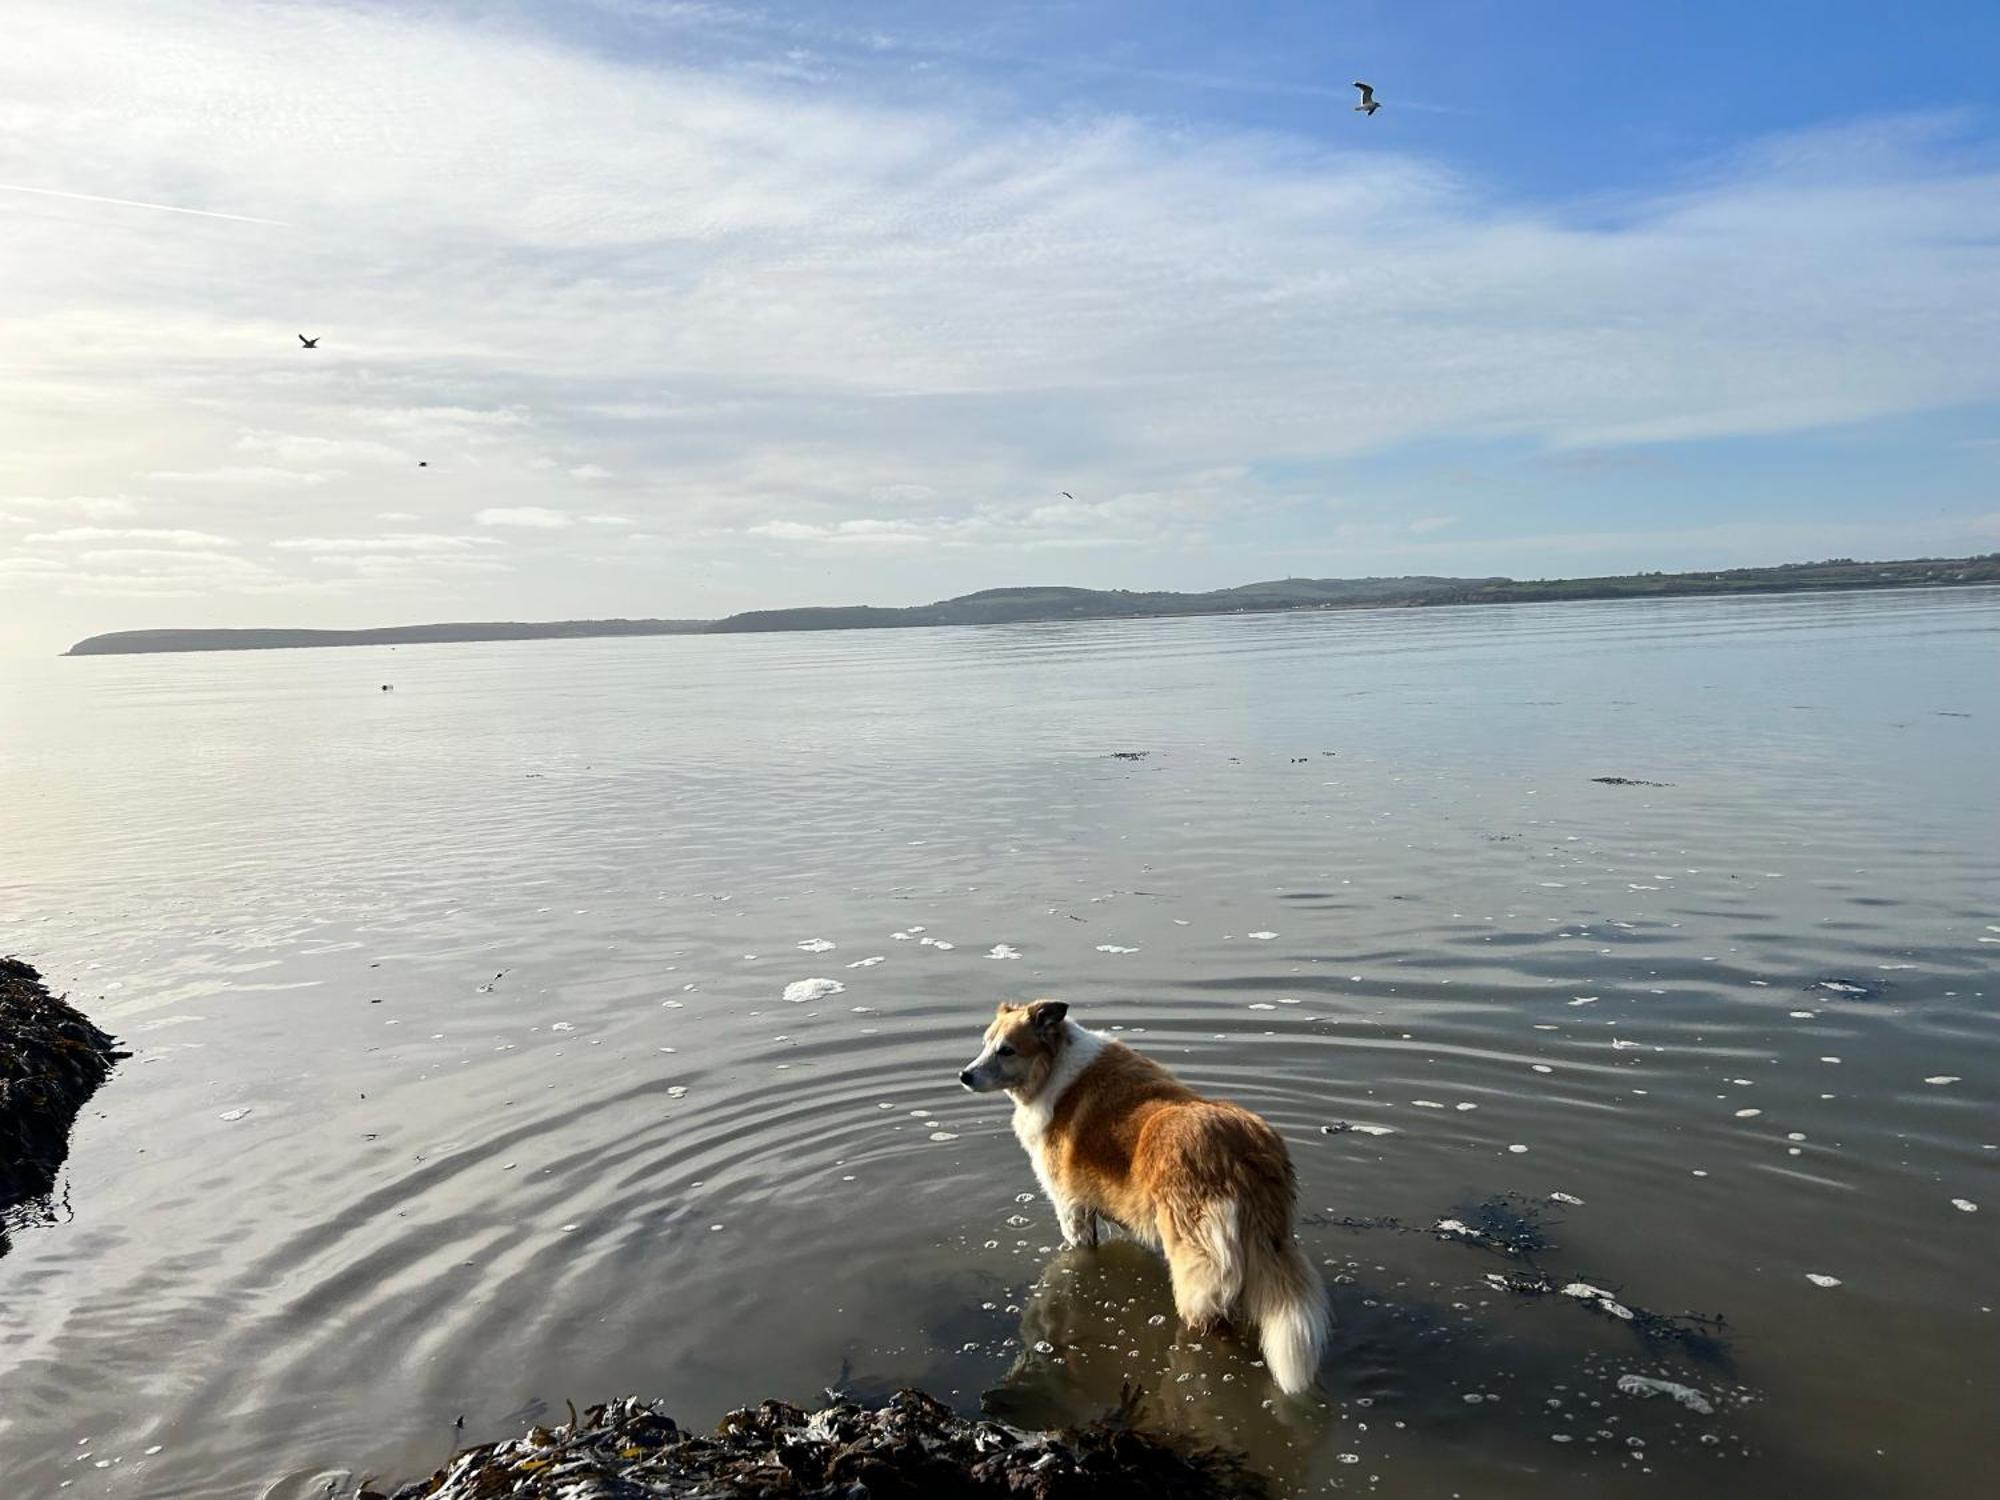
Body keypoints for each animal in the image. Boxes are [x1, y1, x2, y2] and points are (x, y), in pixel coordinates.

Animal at [956, 1000, 1328, 1400]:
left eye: (1007, 1050)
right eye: (985, 1044)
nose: (964, 1076)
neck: (1053, 1067)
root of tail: (1244, 1152)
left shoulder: (1071, 1209)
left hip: (1197, 1268)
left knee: (1211, 1326)